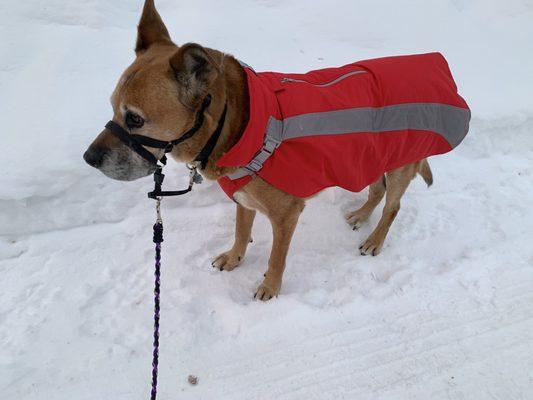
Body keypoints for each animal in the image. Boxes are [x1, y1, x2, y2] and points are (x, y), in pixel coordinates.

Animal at [83, 0, 432, 300]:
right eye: (113, 107)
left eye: (135, 118)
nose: (89, 158)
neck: (235, 126)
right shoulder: (243, 198)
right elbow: (241, 231)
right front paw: (234, 258)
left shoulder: (286, 216)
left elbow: (277, 258)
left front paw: (270, 287)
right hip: (370, 157)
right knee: (377, 189)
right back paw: (361, 215)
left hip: (398, 165)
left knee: (393, 206)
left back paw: (375, 239)